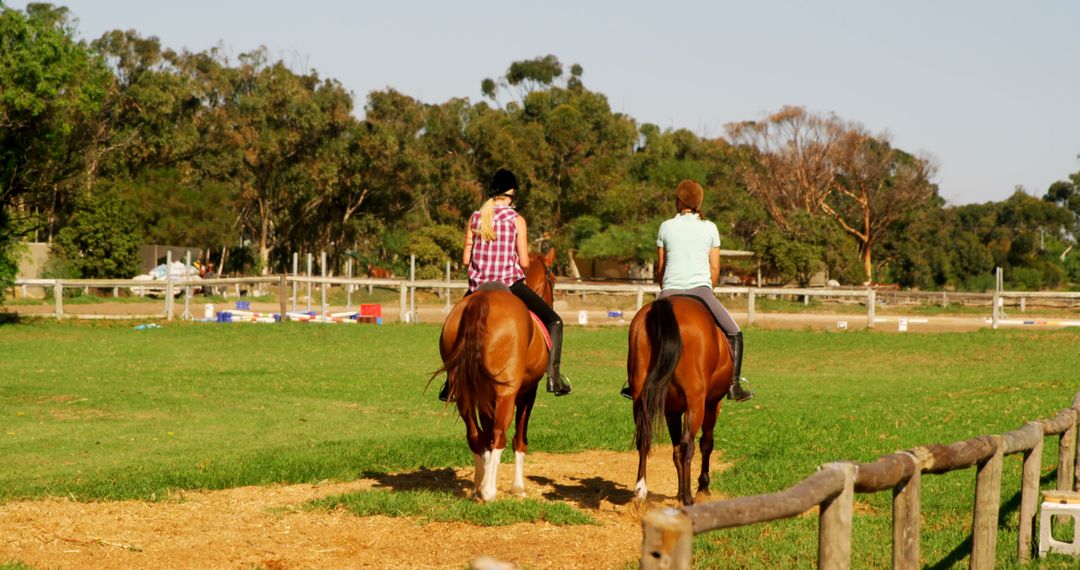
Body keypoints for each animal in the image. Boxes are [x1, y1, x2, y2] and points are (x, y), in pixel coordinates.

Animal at [432, 247, 557, 500]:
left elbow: (486, 435)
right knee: (500, 434)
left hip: (466, 392)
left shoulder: (485, 395)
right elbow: (519, 438)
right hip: (506, 394)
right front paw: (518, 487)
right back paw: (489, 491)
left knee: (475, 435)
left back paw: (480, 485)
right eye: (554, 279)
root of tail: (481, 301)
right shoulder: (528, 391)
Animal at [626, 295, 734, 505]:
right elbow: (706, 443)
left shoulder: (671, 411)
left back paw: (641, 490)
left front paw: (679, 492)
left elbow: (674, 450)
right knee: (688, 445)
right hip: (696, 403)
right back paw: (688, 498)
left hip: (640, 398)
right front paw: (701, 487)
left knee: (645, 438)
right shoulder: (712, 404)